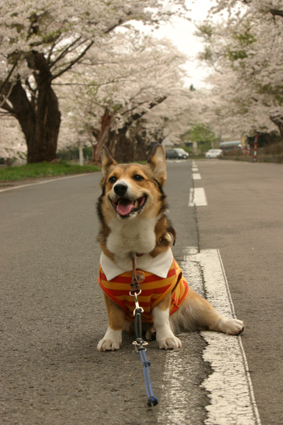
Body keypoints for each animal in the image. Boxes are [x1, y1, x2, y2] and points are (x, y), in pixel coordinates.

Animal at [96, 144, 244, 350]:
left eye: (138, 177)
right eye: (112, 180)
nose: (119, 187)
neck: (132, 244)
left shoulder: (163, 293)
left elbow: (161, 318)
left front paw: (166, 338)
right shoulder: (110, 294)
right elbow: (114, 318)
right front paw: (110, 339)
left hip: (194, 301)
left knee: (211, 318)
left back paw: (230, 324)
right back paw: (150, 332)